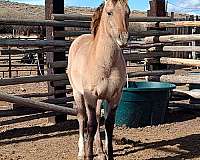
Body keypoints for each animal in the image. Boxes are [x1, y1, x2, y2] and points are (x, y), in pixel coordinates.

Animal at [67, 0, 130, 159]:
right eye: (109, 12)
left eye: (128, 12)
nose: (123, 38)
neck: (105, 63)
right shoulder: (90, 96)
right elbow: (91, 125)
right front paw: (88, 155)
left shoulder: (114, 97)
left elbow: (108, 124)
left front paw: (108, 154)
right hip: (78, 93)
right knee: (82, 118)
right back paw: (81, 152)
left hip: (100, 99)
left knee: (96, 116)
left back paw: (101, 151)